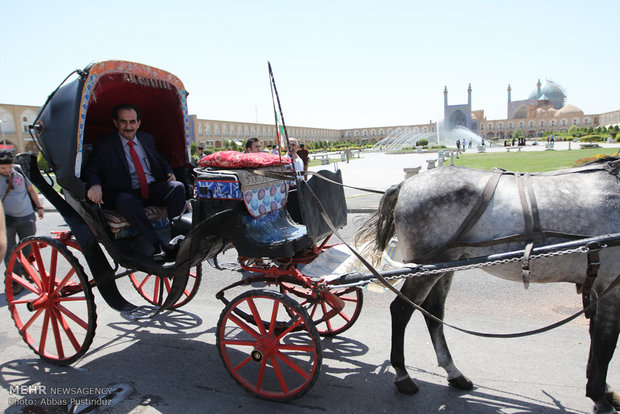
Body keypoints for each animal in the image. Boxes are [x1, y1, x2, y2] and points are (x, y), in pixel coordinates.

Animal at [358, 158, 620, 414]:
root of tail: (406, 184)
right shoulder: (611, 286)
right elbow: (605, 343)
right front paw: (600, 396)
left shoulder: (598, 285)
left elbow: (597, 340)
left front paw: (604, 391)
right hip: (426, 267)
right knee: (401, 310)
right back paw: (402, 375)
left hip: (444, 264)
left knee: (432, 312)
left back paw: (453, 372)